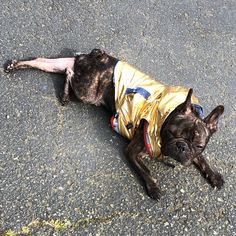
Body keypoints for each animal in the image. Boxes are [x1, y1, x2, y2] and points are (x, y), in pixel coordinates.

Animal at [4, 48, 225, 200]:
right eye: (170, 133)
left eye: (198, 144)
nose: (181, 146)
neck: (167, 113)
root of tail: (93, 55)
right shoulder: (132, 151)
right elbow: (145, 170)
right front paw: (154, 187)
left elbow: (202, 159)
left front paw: (213, 175)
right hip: (87, 91)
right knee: (67, 72)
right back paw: (65, 94)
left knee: (45, 62)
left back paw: (14, 64)